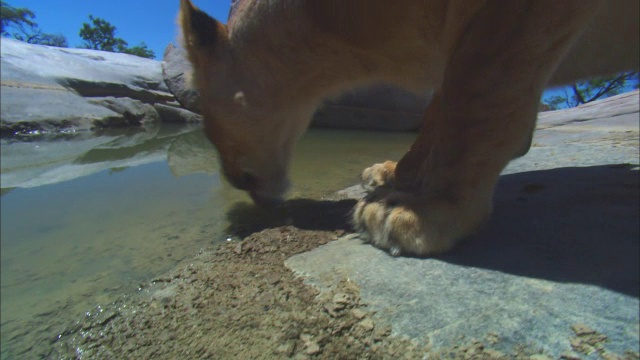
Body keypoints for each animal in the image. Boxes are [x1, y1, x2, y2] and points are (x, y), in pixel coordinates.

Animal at [180, 1, 640, 258]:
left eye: (201, 111)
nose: (233, 183)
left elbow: (480, 94)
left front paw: (425, 209)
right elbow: (440, 111)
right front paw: (394, 175)